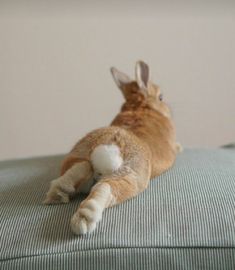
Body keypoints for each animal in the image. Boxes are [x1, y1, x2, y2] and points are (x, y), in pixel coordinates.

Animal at [43, 60, 180, 234]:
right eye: (161, 97)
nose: (168, 107)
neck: (139, 106)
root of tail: (112, 143)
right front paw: (180, 147)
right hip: (130, 178)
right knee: (104, 188)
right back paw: (84, 221)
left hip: (78, 154)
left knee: (82, 168)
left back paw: (58, 195)